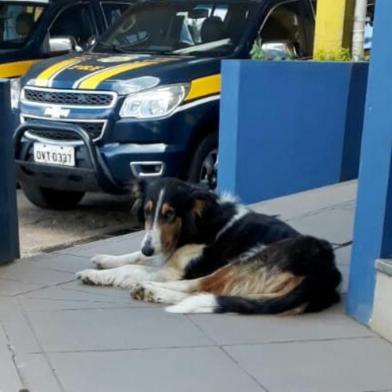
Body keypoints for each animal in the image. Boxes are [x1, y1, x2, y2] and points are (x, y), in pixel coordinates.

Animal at [76, 178, 340, 316]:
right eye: (148, 211)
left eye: (170, 214)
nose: (149, 249)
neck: (197, 223)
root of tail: (326, 272)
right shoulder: (160, 250)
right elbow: (134, 257)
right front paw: (105, 260)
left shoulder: (173, 270)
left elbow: (134, 268)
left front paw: (98, 275)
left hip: (249, 258)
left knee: (201, 286)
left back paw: (150, 290)